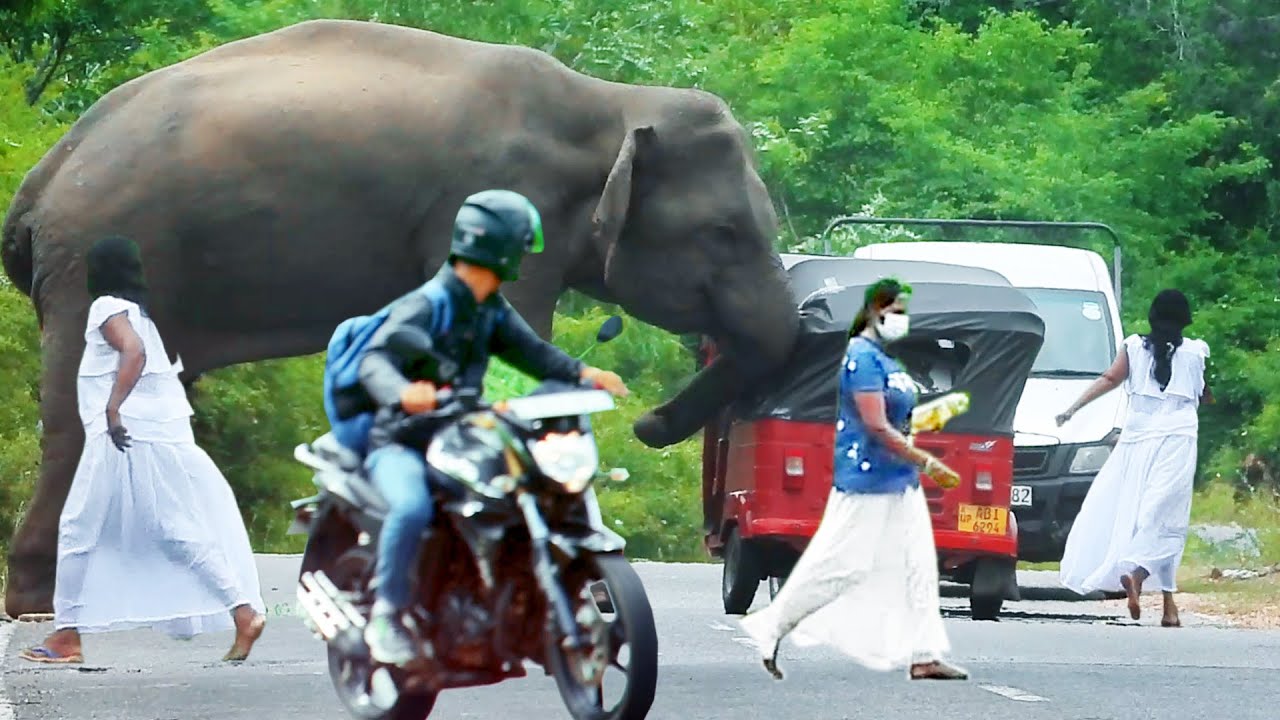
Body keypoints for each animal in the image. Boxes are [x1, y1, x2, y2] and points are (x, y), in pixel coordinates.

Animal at [0, 19, 799, 614]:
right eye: (725, 233)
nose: (648, 422)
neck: (610, 103)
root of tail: (40, 181)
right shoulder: (500, 204)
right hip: (99, 257)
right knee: (77, 414)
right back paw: (46, 604)